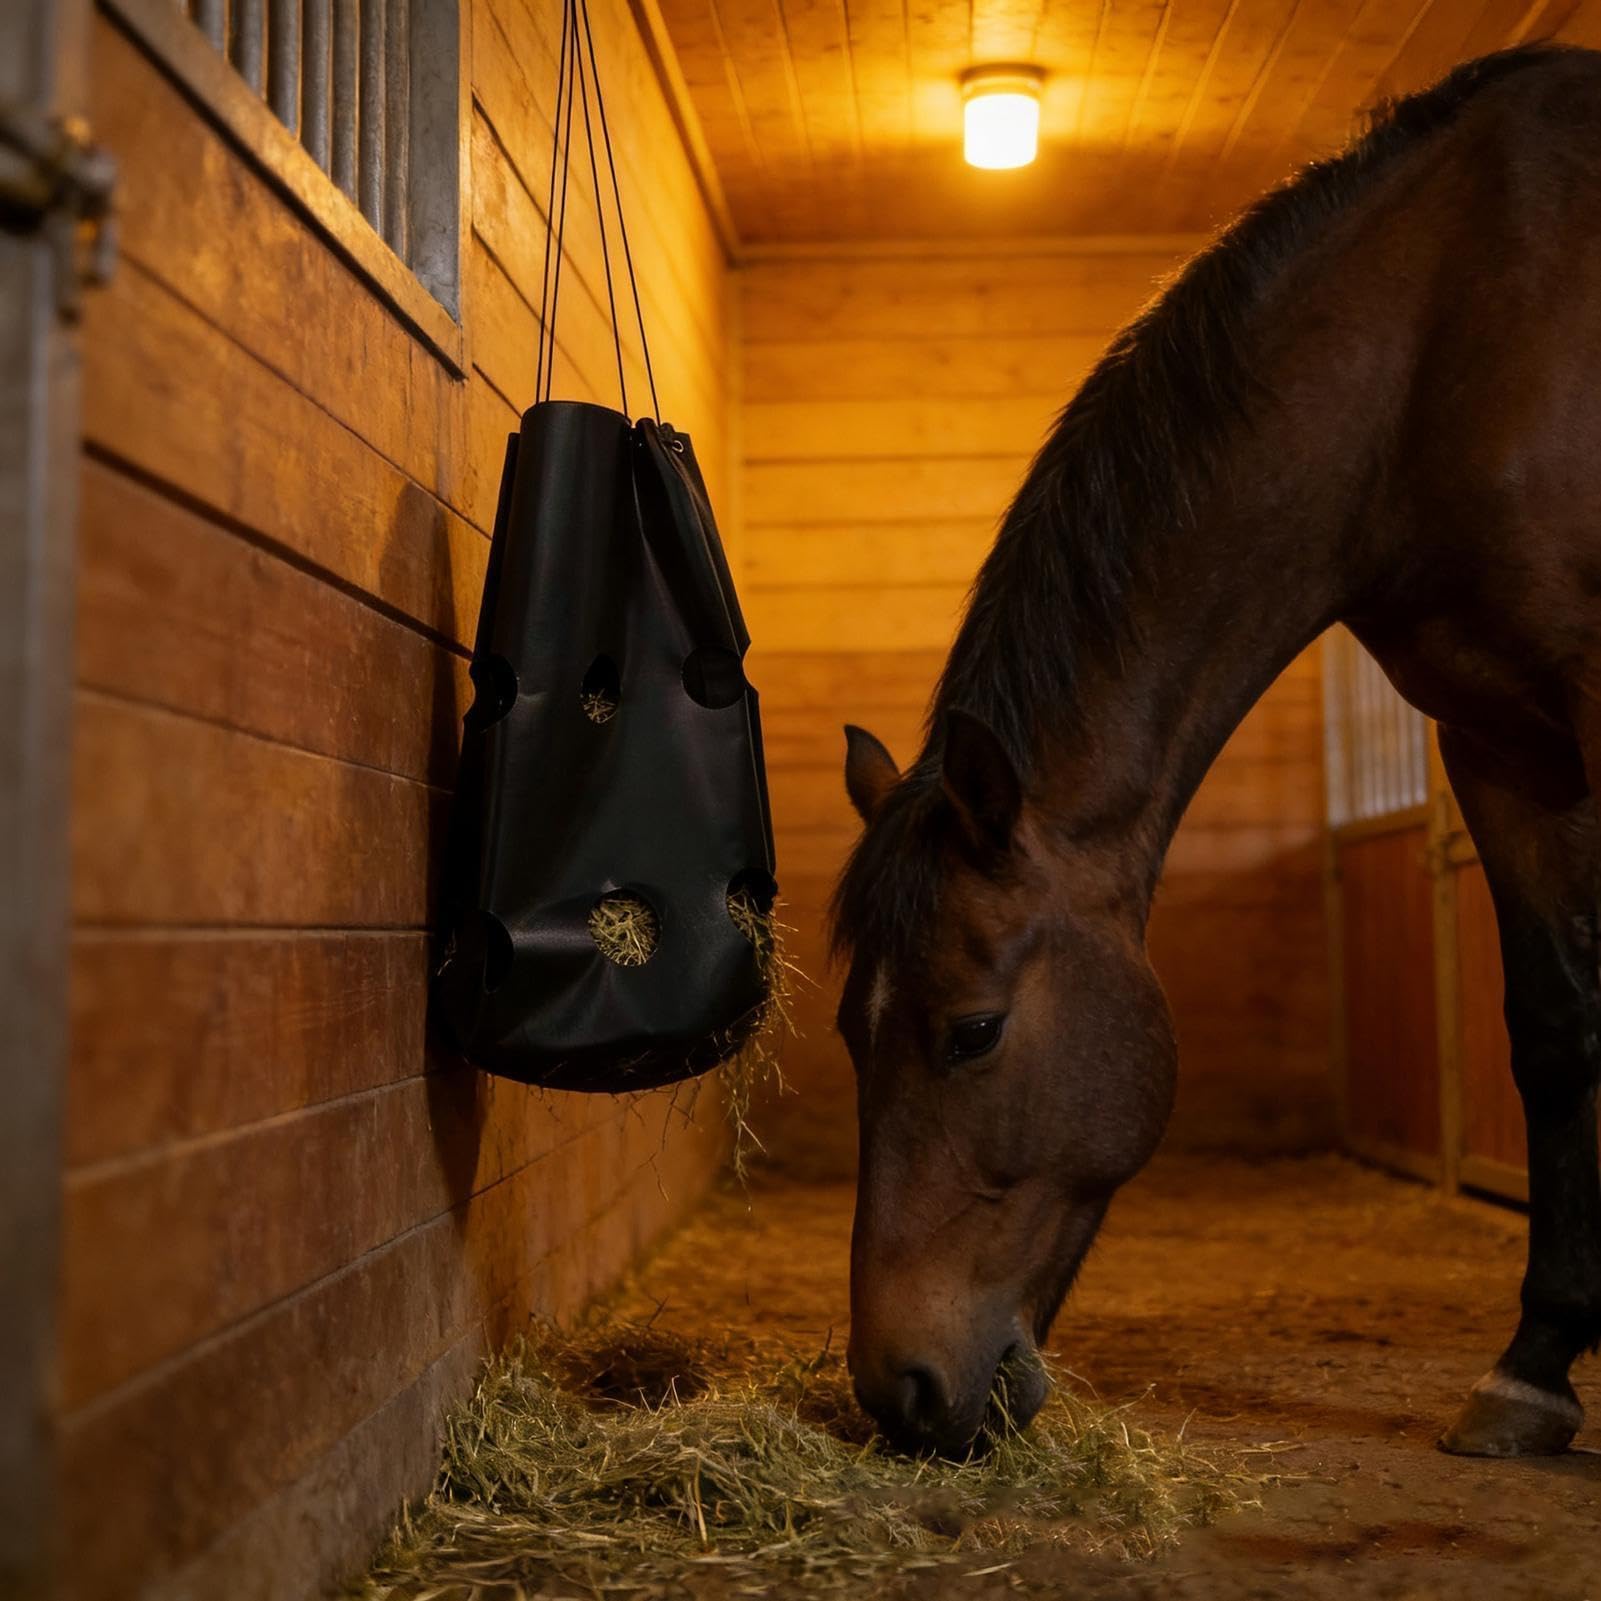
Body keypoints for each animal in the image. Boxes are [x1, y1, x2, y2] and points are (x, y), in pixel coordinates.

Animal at [831, 44, 1601, 1461]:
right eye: (855, 1036)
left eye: (971, 1031)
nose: (899, 1391)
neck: (1443, 337)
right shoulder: (1495, 739)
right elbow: (1552, 1022)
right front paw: (1531, 1366)